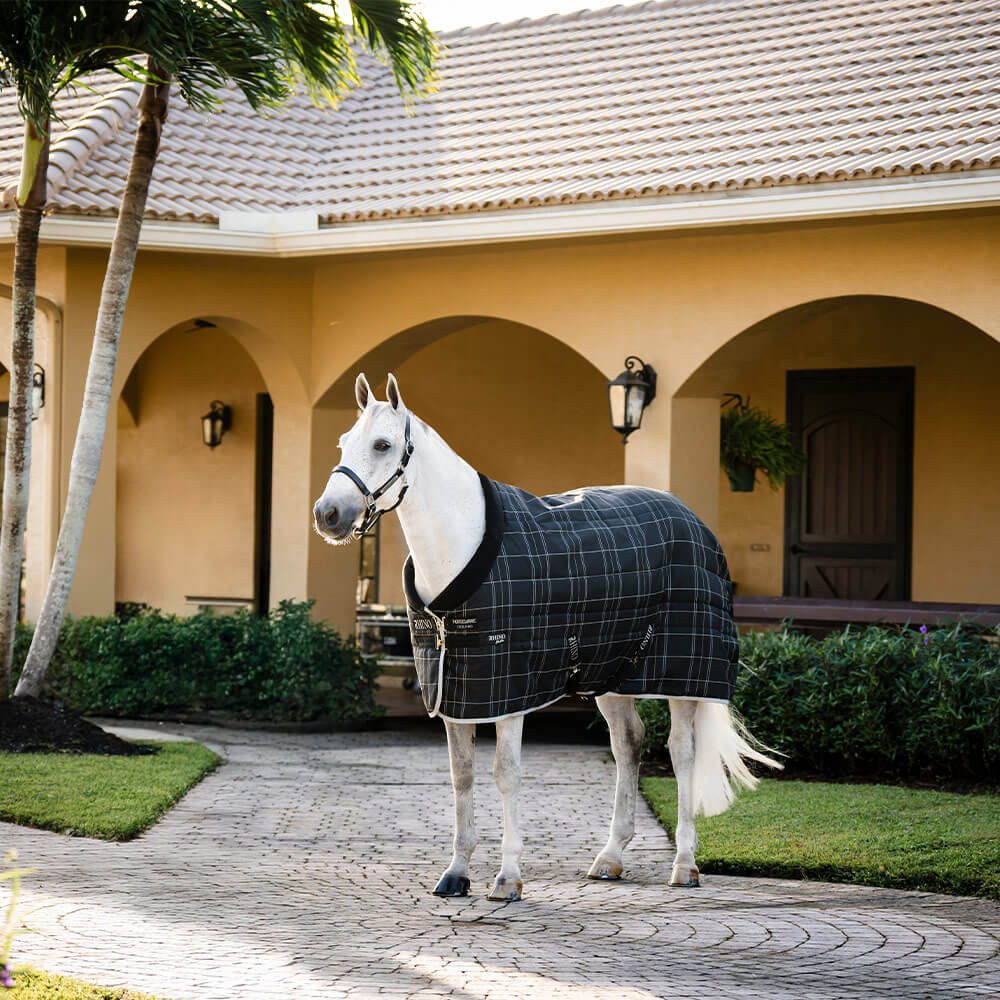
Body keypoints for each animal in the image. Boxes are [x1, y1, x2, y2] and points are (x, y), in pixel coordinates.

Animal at [313, 373, 780, 901]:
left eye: (383, 444)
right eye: (343, 442)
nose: (328, 514)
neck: (463, 545)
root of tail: (692, 519)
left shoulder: (508, 692)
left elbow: (505, 774)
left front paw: (507, 878)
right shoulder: (455, 690)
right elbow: (462, 776)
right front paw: (456, 872)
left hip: (682, 678)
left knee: (681, 753)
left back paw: (684, 864)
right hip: (612, 675)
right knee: (629, 744)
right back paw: (610, 857)